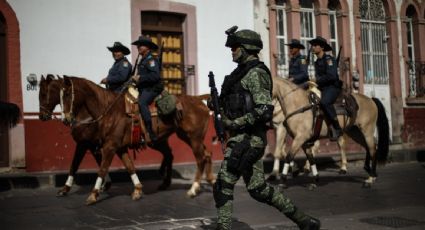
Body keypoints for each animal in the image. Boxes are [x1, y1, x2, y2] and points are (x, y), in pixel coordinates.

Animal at [58, 76, 215, 204]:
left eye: (67, 94)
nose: (65, 119)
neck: (109, 111)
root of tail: (198, 99)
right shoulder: (118, 147)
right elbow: (129, 166)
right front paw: (138, 190)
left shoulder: (109, 146)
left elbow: (102, 169)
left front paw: (93, 194)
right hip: (185, 137)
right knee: (205, 154)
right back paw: (208, 180)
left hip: (193, 138)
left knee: (200, 159)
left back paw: (193, 189)